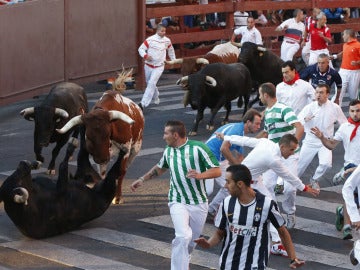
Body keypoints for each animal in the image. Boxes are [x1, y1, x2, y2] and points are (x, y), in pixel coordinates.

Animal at [0, 144, 128, 239]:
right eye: (19, 181)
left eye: (16, 177)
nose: (22, 163)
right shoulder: (62, 190)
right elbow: (62, 165)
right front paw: (70, 149)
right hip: (108, 185)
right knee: (113, 172)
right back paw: (122, 152)